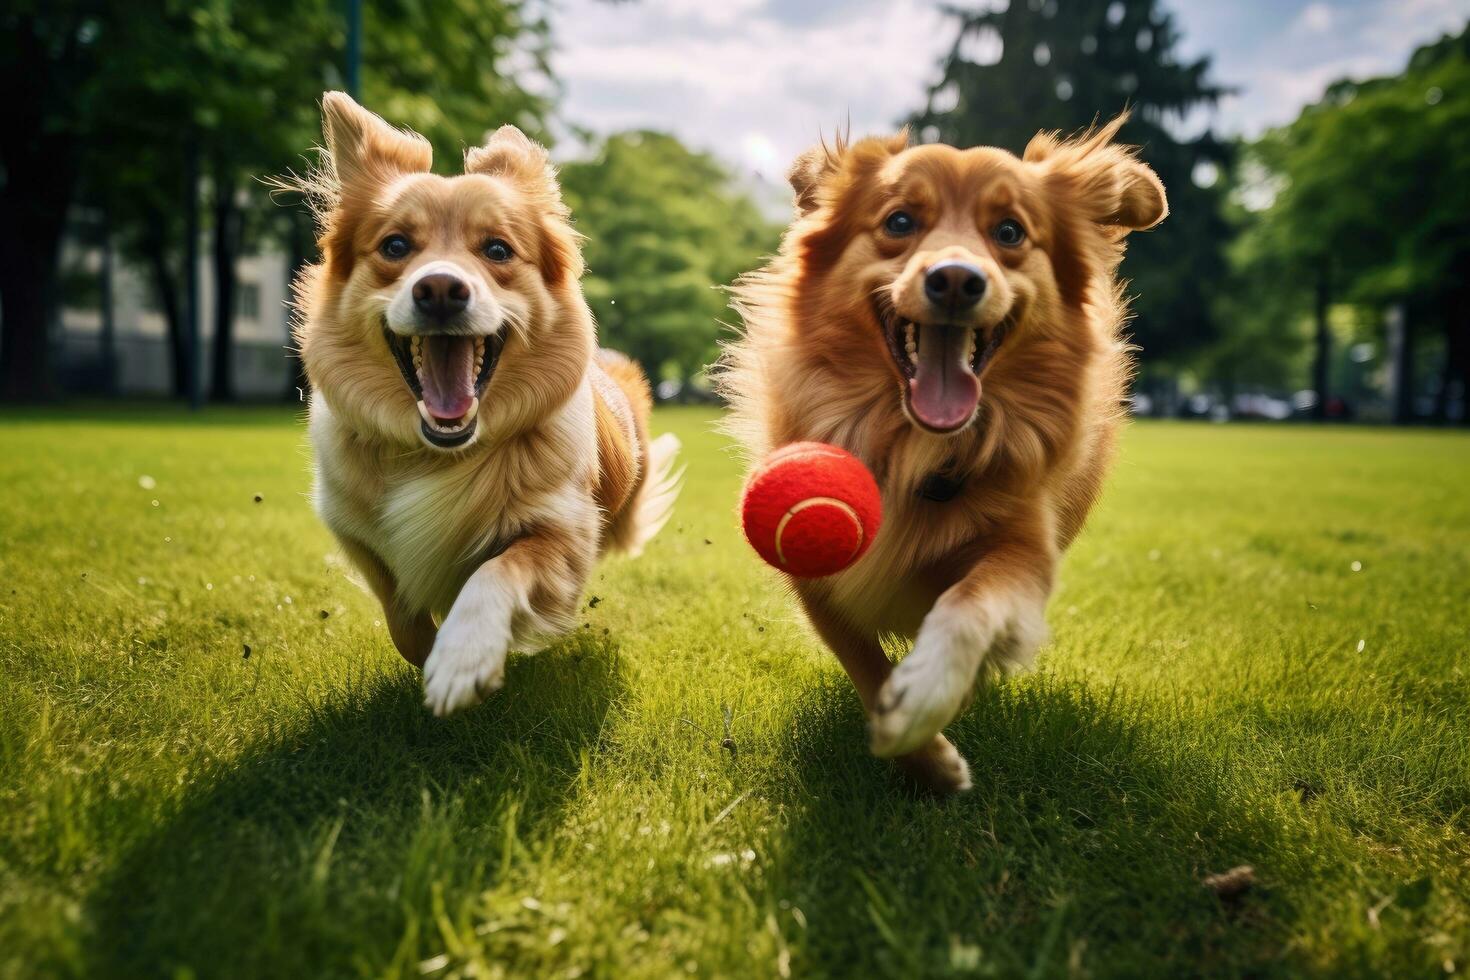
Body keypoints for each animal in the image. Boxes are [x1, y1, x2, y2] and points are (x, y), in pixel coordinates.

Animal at [292, 91, 682, 717]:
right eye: (395, 246)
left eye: (497, 249)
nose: (440, 290)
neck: (439, 452)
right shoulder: (354, 530)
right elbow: (402, 617)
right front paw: (432, 652)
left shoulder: (565, 535)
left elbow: (497, 569)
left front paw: (463, 657)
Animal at [717, 115, 1164, 793]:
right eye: (900, 221)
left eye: (1009, 231)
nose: (955, 279)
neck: (915, 451)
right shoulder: (819, 582)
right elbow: (865, 666)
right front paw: (921, 753)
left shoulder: (1025, 550)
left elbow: (968, 607)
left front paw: (928, 696)